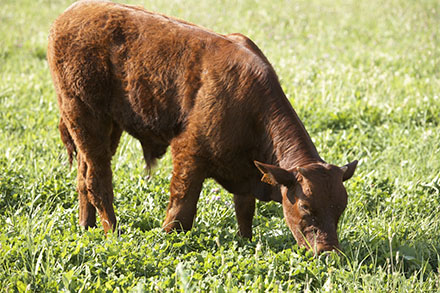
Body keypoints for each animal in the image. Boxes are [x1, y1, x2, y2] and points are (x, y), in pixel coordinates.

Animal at [48, 0, 358, 253]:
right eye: (305, 206)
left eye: (341, 207)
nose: (329, 252)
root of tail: (69, 14)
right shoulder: (189, 154)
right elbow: (182, 211)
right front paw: (167, 241)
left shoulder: (245, 172)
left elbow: (245, 210)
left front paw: (246, 241)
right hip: (85, 116)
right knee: (97, 180)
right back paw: (113, 232)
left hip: (107, 127)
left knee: (83, 175)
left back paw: (86, 227)